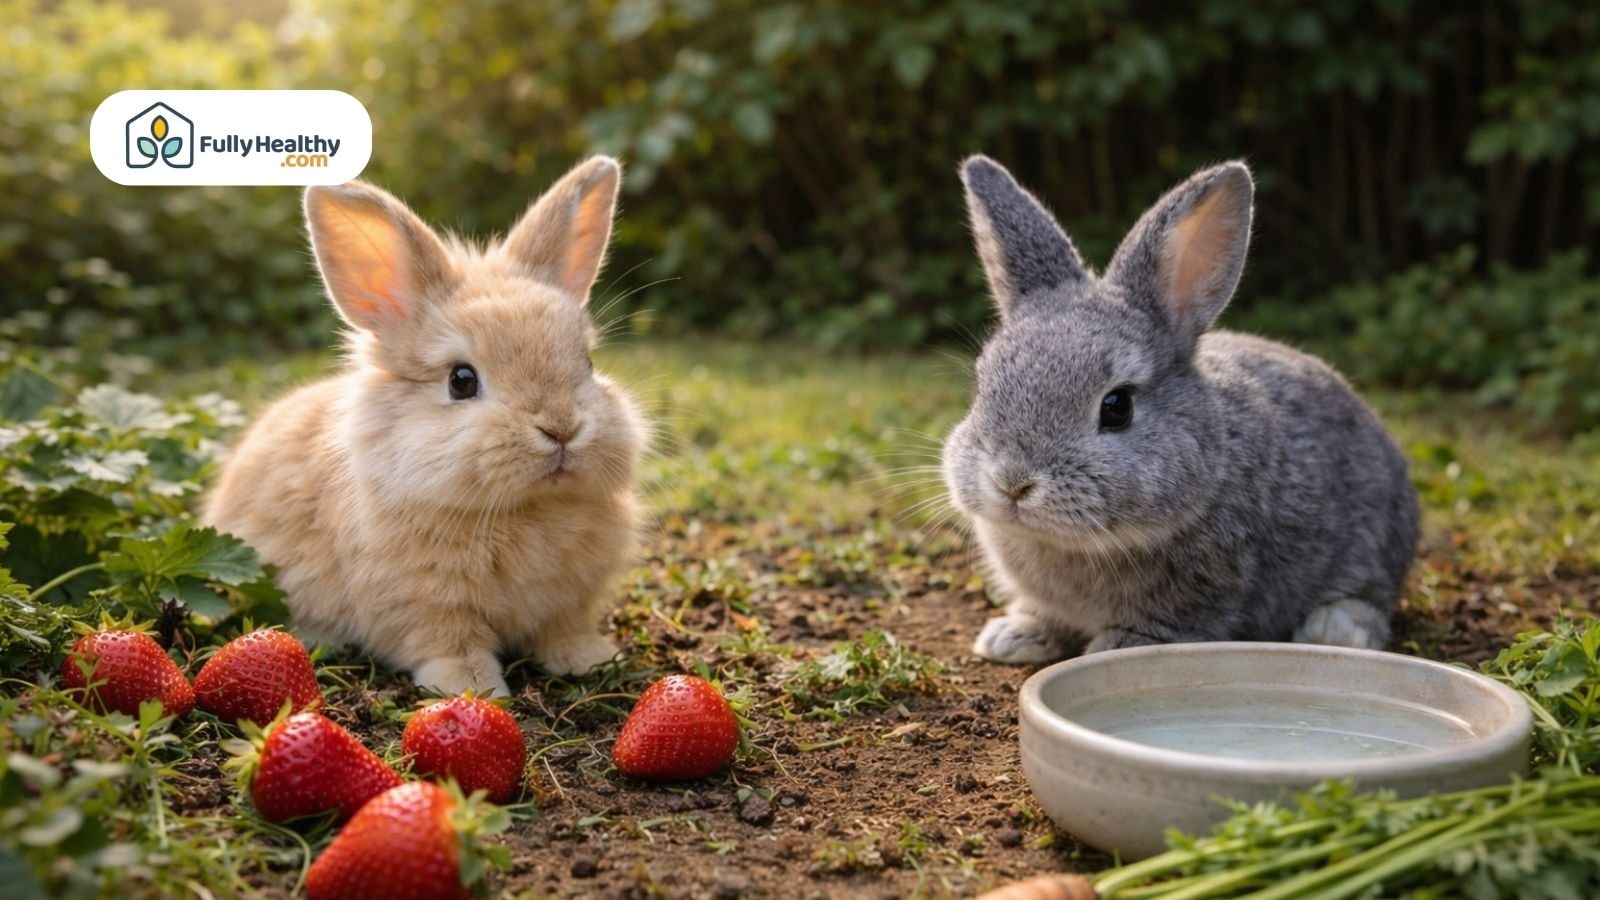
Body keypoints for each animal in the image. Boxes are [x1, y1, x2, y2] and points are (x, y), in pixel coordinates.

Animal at [203, 157, 646, 696]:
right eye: (461, 380)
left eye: (588, 363)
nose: (561, 428)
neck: (525, 509)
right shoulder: (425, 607)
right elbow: (449, 644)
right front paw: (472, 688)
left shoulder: (569, 602)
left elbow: (565, 629)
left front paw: (588, 660)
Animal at [943, 156, 1419, 664]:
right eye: (982, 384)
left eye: (1117, 406)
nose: (1012, 482)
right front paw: (1012, 636)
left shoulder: (1205, 594)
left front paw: (1111, 649)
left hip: (1371, 541)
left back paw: (1335, 630)